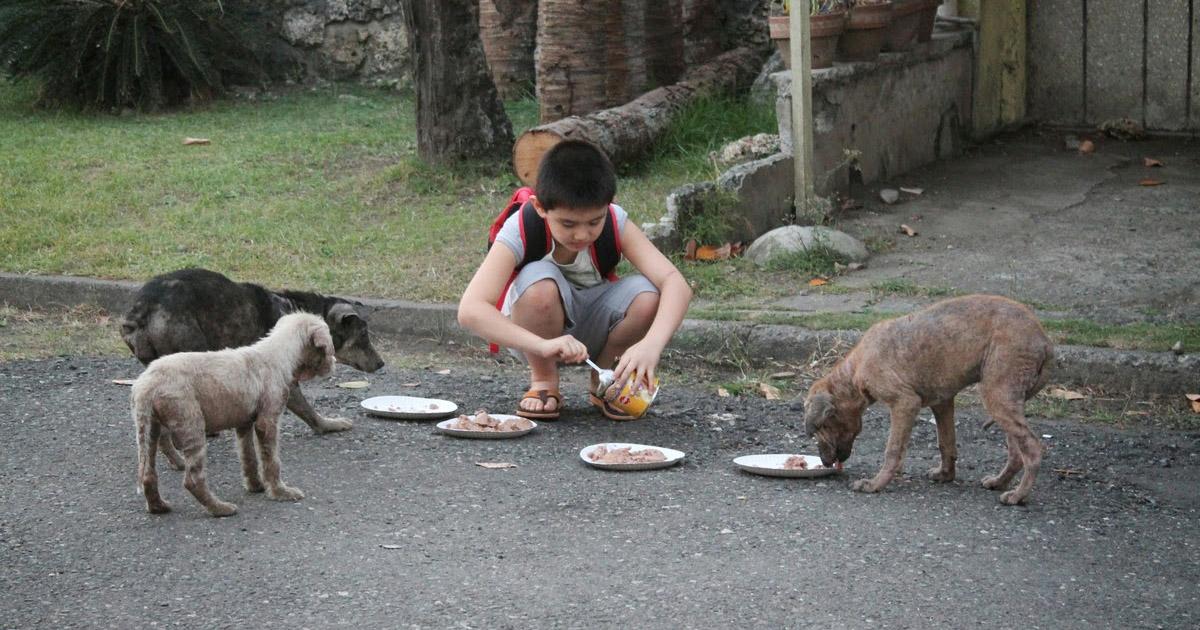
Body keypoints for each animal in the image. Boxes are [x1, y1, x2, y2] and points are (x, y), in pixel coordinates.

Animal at [116, 267, 379, 434]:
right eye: (363, 336)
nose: (381, 363)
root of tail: (141, 311)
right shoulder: (283, 377)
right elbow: (306, 409)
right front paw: (328, 425)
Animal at [132, 312, 336, 513]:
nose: (334, 363)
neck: (279, 352)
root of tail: (147, 385)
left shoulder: (244, 423)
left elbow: (248, 456)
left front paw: (255, 486)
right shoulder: (268, 421)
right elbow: (271, 460)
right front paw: (280, 492)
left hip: (150, 429)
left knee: (148, 475)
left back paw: (158, 507)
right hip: (190, 424)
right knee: (192, 480)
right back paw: (219, 508)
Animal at [806, 295, 1051, 506]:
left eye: (821, 428)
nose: (825, 462)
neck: (854, 370)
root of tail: (1045, 340)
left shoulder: (905, 403)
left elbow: (892, 450)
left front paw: (876, 484)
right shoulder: (942, 403)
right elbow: (946, 443)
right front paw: (945, 474)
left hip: (997, 392)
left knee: (1032, 449)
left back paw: (1018, 495)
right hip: (1006, 398)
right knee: (1016, 452)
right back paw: (1000, 482)